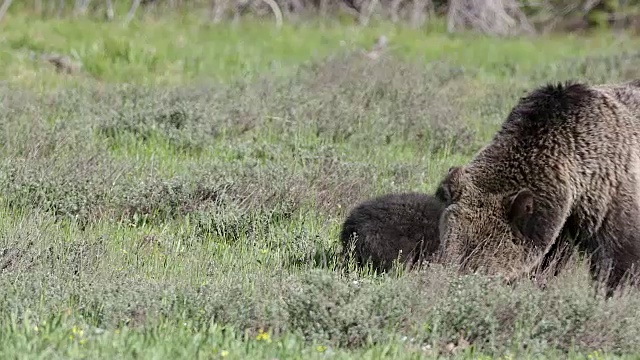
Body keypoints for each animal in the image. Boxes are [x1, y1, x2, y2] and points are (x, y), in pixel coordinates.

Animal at [440, 79, 640, 292]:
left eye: (483, 267)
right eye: (450, 256)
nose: (457, 283)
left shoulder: (608, 198)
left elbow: (618, 262)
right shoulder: (562, 225)